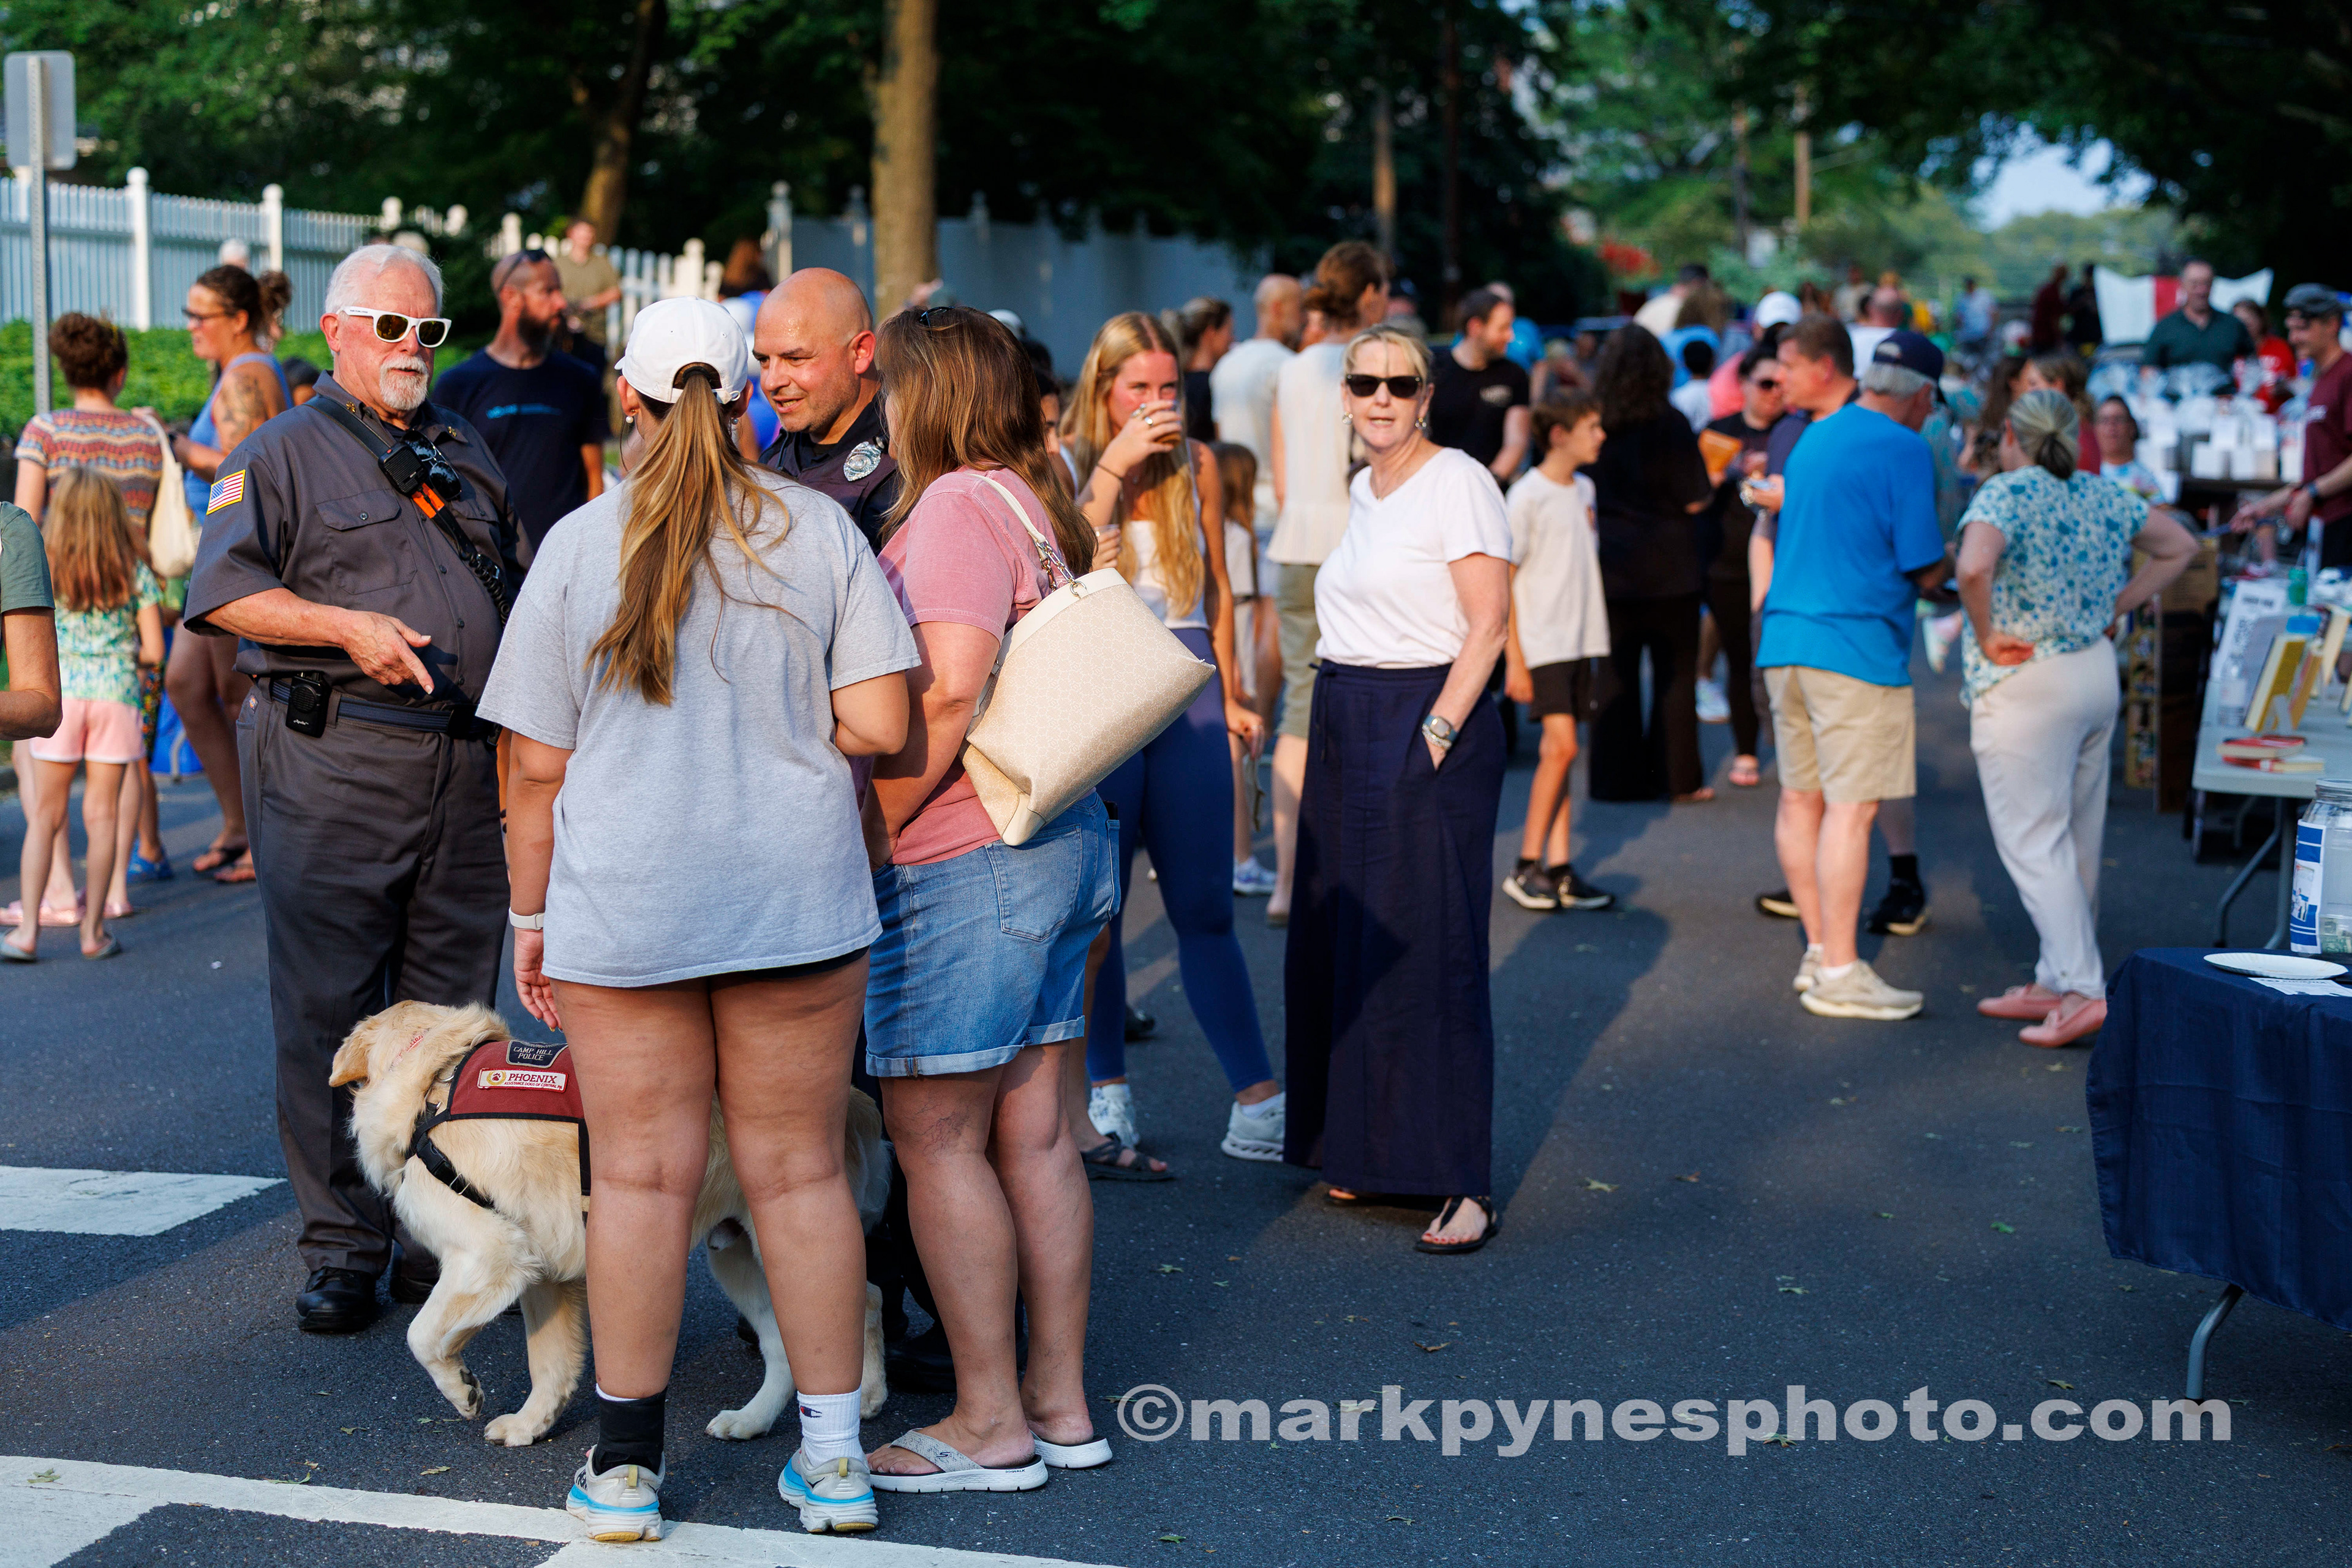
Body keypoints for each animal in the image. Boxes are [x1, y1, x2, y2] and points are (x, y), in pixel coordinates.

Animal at [330, 999, 891, 1447]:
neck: (435, 1083)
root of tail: (853, 1101)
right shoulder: (543, 1270)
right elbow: (549, 1364)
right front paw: (530, 1425)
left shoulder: (488, 1254)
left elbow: (421, 1335)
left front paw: (461, 1388)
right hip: (737, 1256)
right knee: (786, 1346)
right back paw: (751, 1420)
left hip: (785, 1236)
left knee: (865, 1299)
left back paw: (867, 1393)